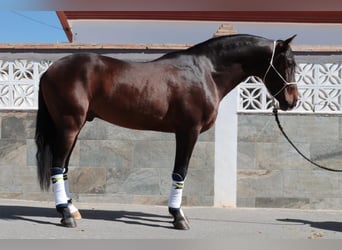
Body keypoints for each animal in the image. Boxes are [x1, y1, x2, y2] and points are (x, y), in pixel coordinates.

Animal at [34, 34, 296, 229]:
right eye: (288, 63)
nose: (292, 101)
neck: (206, 72)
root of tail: (50, 70)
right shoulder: (188, 131)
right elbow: (180, 172)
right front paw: (178, 217)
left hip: (74, 128)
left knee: (64, 168)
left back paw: (72, 210)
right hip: (69, 125)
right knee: (57, 166)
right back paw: (65, 215)